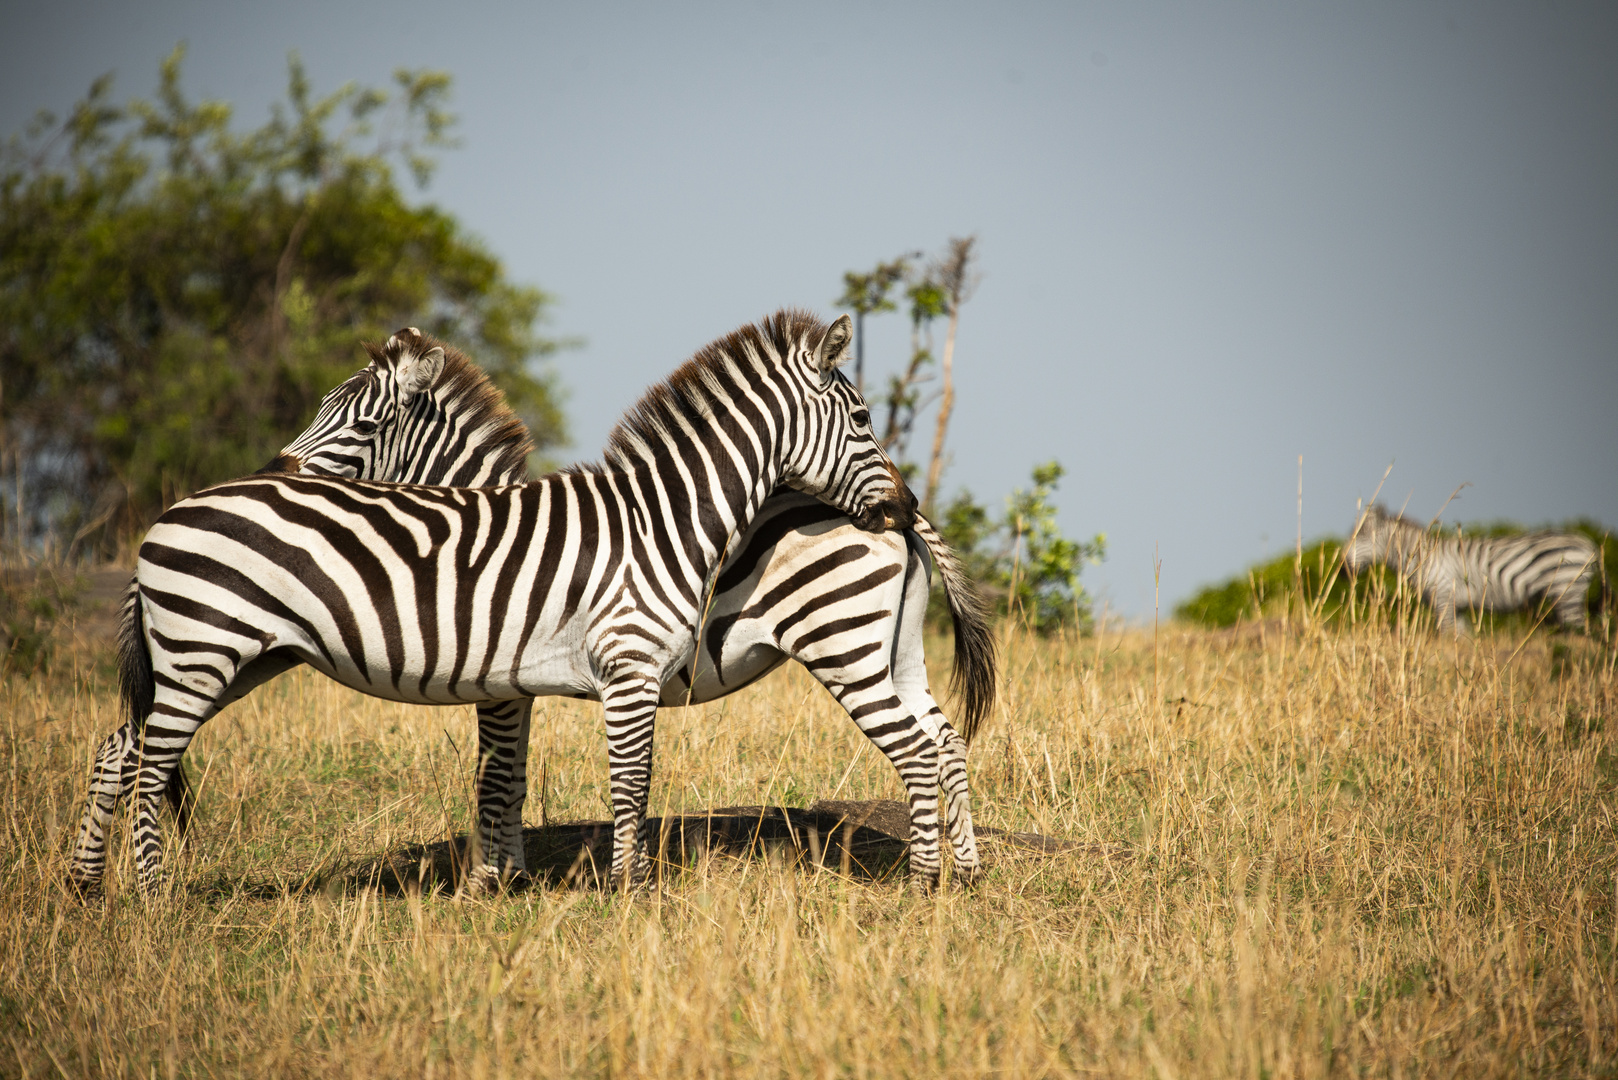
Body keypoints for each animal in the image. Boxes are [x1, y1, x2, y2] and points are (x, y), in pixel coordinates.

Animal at [69, 310, 931, 893]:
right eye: (863, 418)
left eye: (362, 422)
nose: (905, 504)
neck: (660, 518)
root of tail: (159, 521)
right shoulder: (618, 672)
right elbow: (615, 781)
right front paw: (621, 894)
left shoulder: (528, 682)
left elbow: (515, 777)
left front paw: (510, 882)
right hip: (205, 653)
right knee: (148, 761)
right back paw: (149, 896)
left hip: (228, 658)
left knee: (122, 749)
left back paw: (88, 889)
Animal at [1339, 505, 1605, 634]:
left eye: (1362, 535)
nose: (1342, 569)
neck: (1423, 558)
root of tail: (1590, 544)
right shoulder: (1456, 606)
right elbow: (1462, 637)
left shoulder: (1443, 598)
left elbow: (1448, 637)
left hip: (1568, 588)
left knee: (1582, 630)